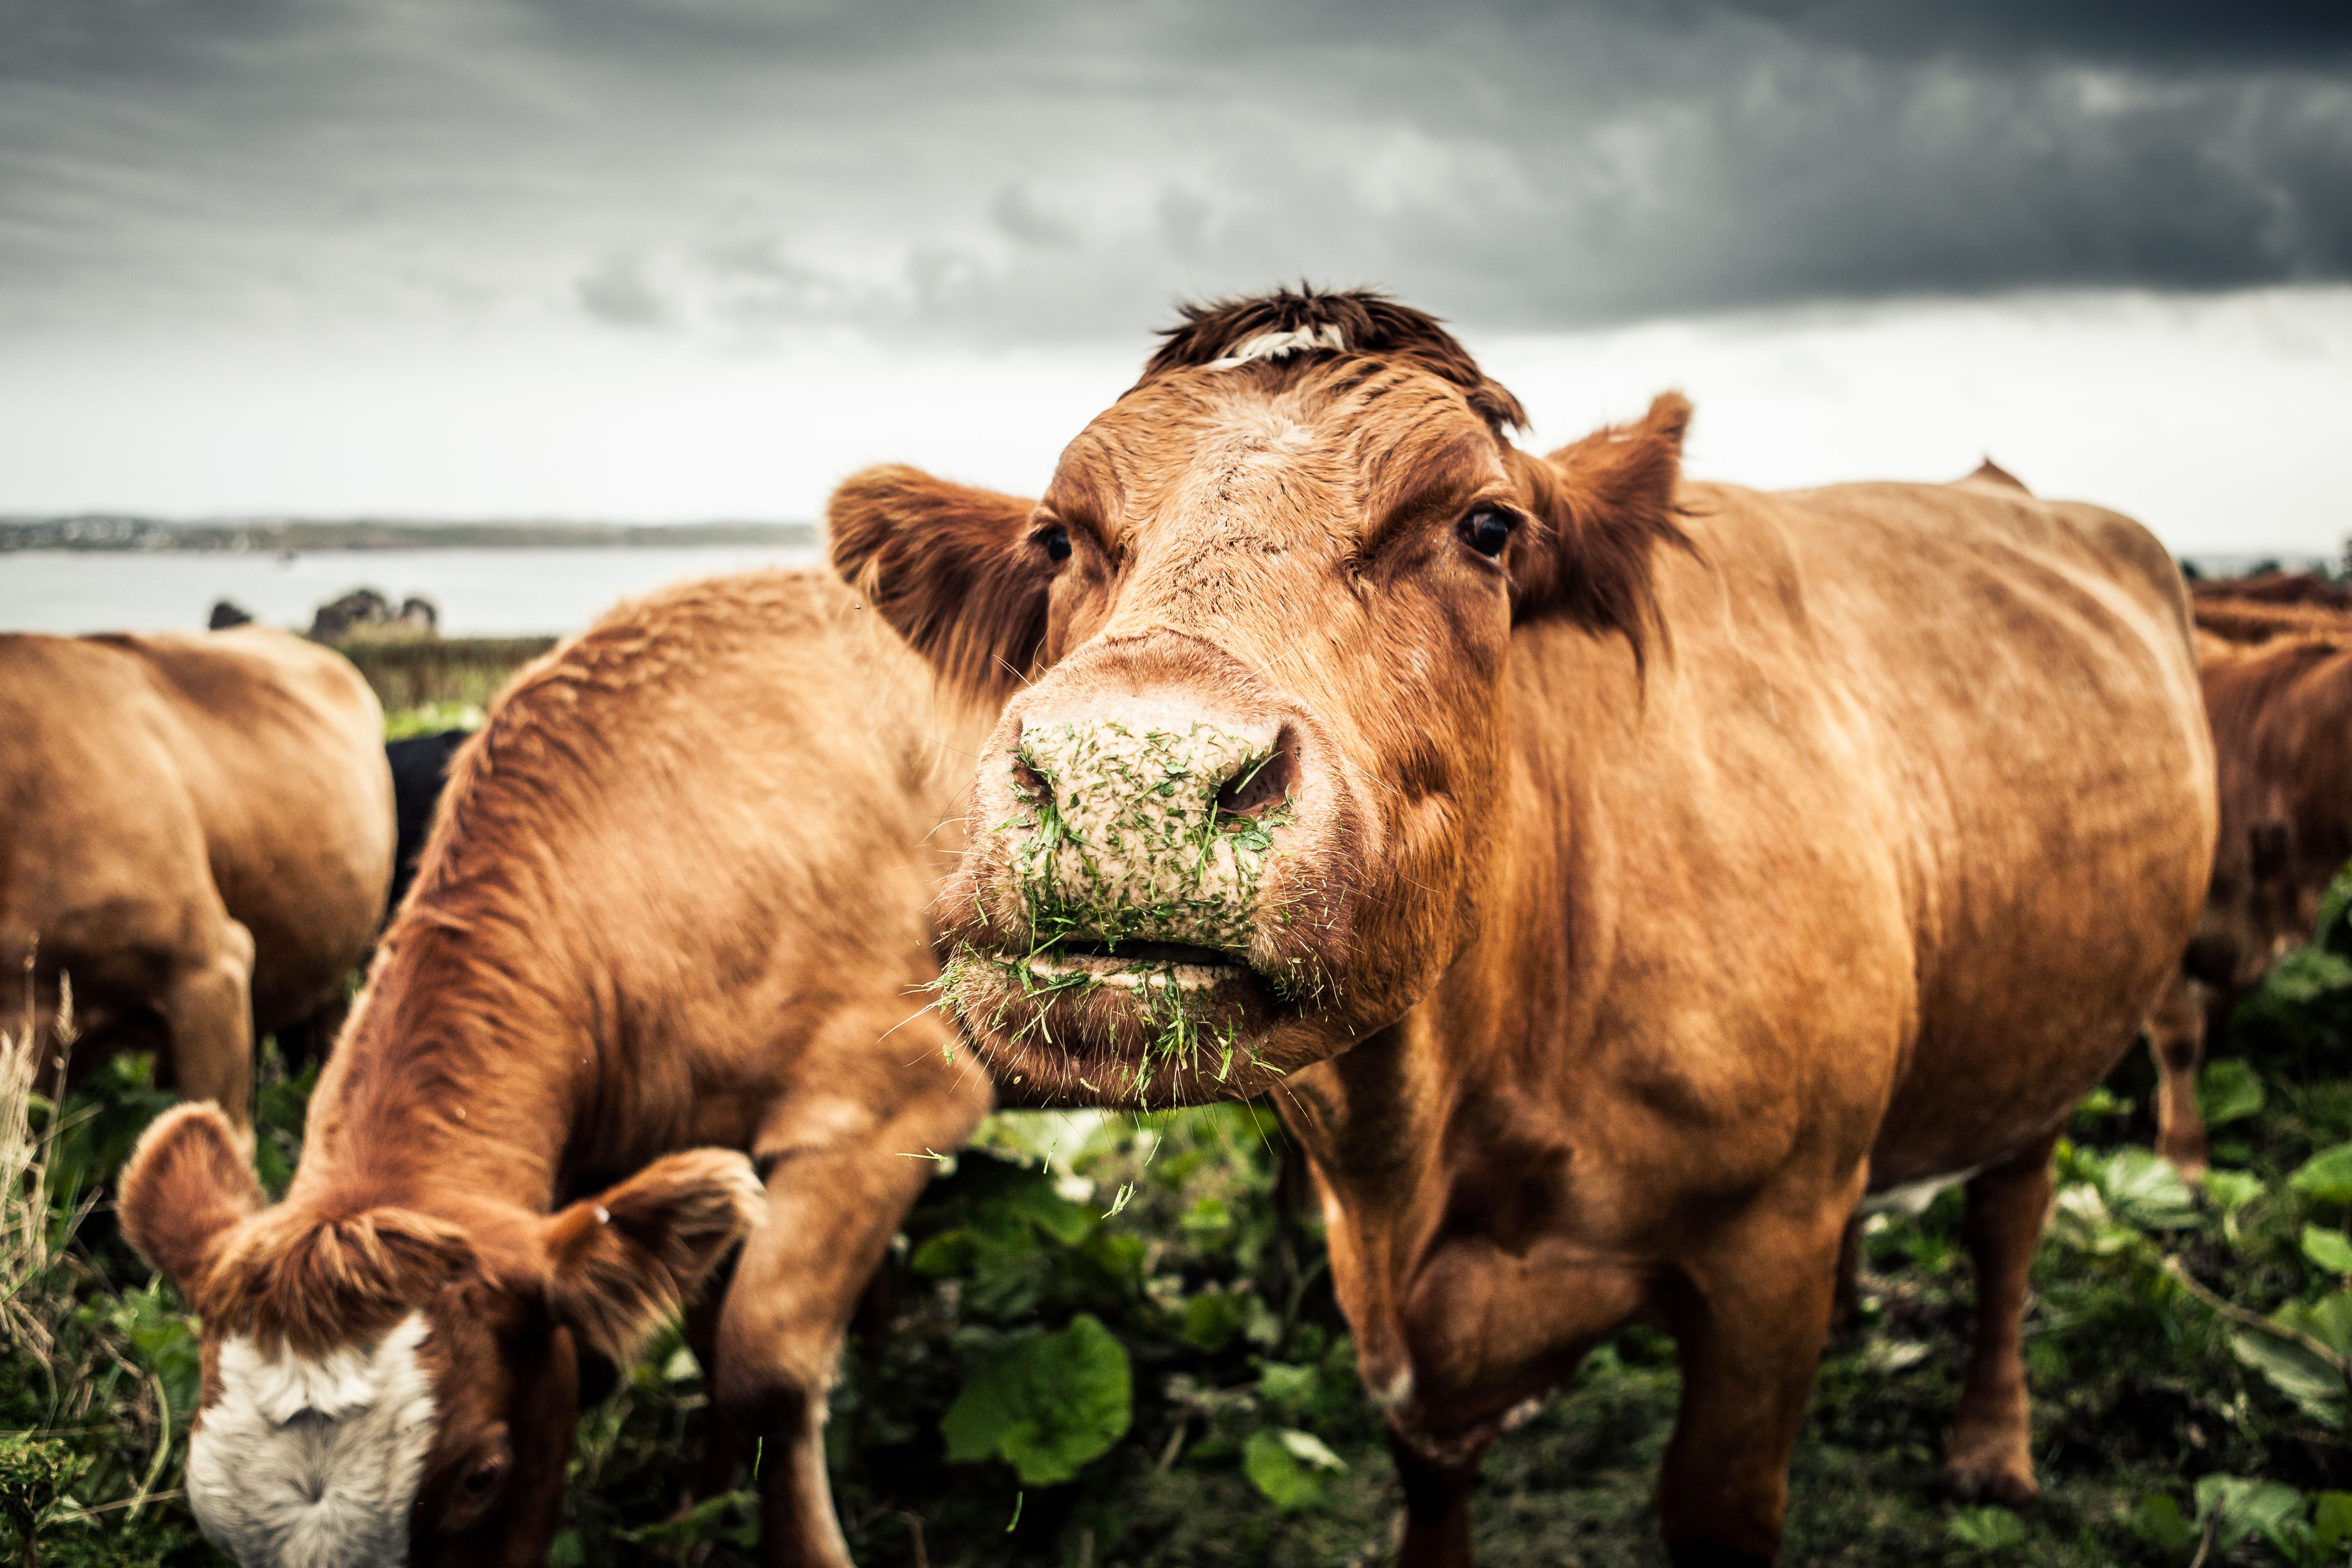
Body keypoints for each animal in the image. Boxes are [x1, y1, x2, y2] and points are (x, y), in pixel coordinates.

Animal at [114, 570, 993, 1568]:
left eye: (480, 1475)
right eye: (213, 1519)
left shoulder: (897, 1095)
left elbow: (760, 1365)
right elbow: (707, 1335)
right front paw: (695, 1509)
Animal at [827, 287, 2215, 1566]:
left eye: (1486, 527)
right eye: (1056, 536)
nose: (1130, 774)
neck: (1435, 1133)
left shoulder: (1765, 1247)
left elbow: (1718, 1501)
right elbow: (1429, 1486)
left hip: (2048, 1037)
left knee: (2008, 1216)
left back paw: (1990, 1446)